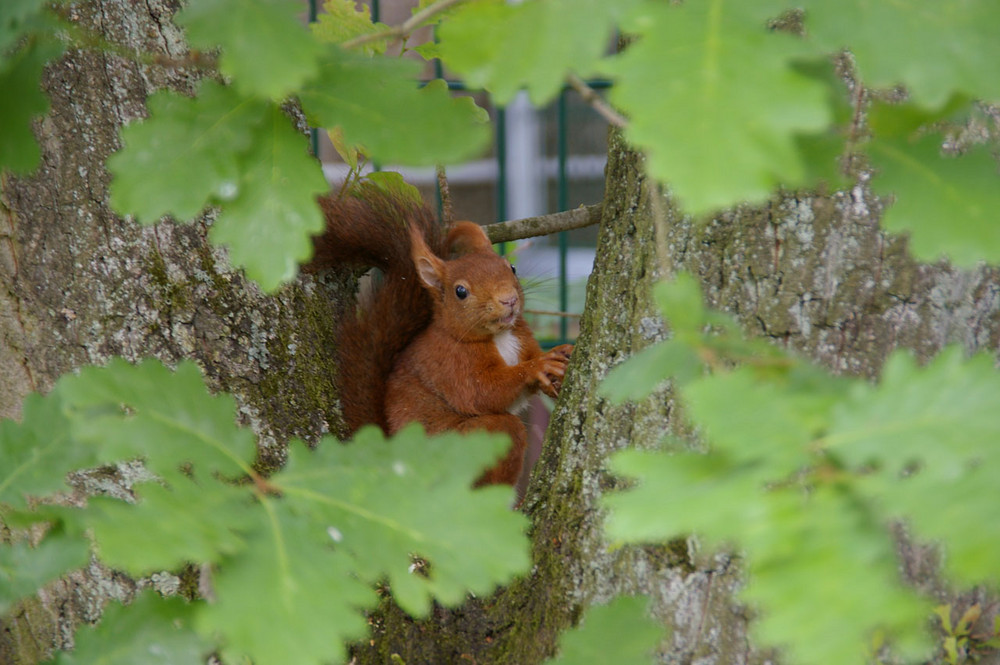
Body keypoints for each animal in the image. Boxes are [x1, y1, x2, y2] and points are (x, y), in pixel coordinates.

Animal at [306, 182, 572, 482]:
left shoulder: (522, 337)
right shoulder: (452, 365)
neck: (499, 336)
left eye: (511, 267)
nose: (509, 300)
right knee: (507, 429)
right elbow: (483, 392)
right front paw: (538, 367)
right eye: (461, 291)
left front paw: (560, 355)